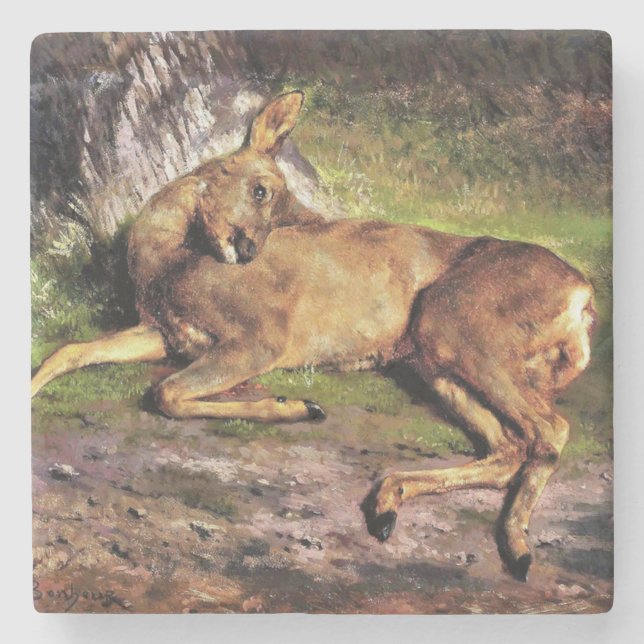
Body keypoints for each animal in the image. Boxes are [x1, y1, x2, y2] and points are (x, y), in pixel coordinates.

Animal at [31, 90, 596, 581]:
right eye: (261, 190)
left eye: (274, 203)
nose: (248, 250)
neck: (169, 263)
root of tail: (583, 295)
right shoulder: (164, 332)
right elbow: (73, 351)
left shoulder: (262, 338)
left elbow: (165, 392)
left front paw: (294, 405)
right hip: (435, 359)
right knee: (507, 445)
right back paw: (387, 504)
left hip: (462, 324)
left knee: (549, 429)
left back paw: (517, 548)